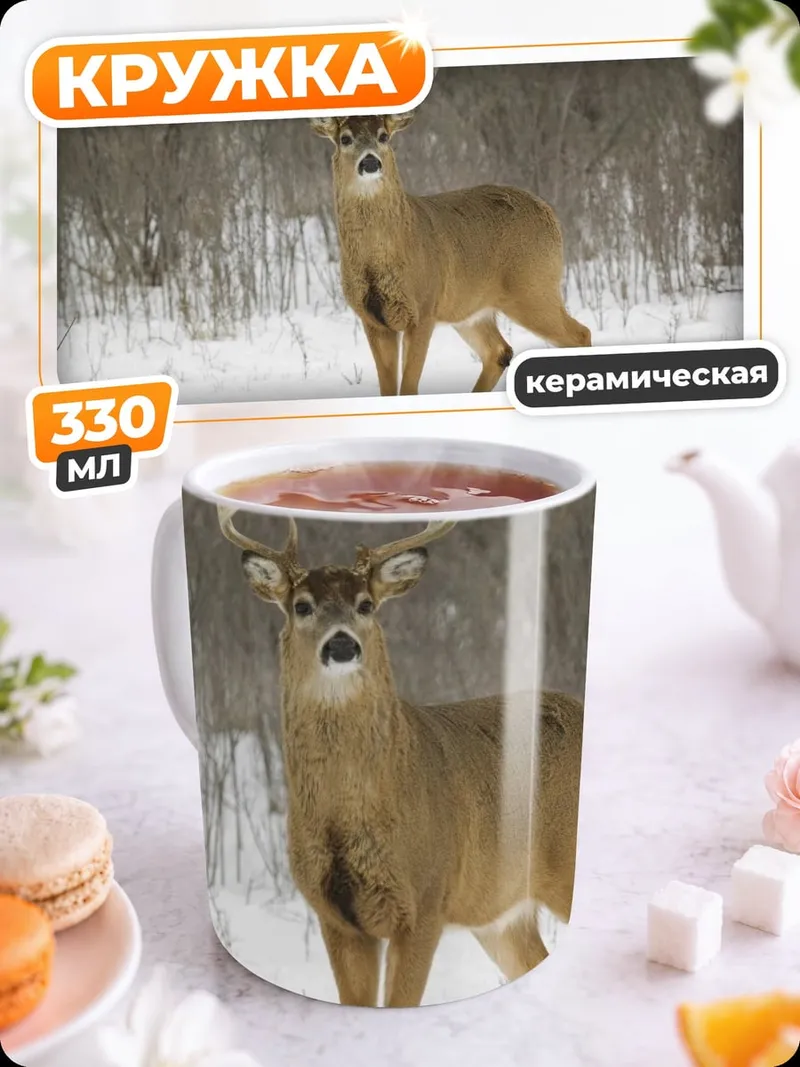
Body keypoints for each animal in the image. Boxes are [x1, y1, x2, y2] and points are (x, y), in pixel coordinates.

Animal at [218, 508, 584, 1008]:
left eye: (366, 605)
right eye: (302, 605)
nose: (341, 645)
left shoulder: (426, 901)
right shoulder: (335, 917)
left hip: (561, 869)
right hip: (499, 914)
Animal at [311, 112, 592, 398]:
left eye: (384, 136)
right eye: (345, 139)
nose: (370, 161)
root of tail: (549, 212)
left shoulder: (424, 310)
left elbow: (408, 389)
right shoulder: (373, 321)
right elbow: (388, 392)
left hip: (533, 289)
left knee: (580, 334)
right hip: (471, 309)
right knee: (499, 351)